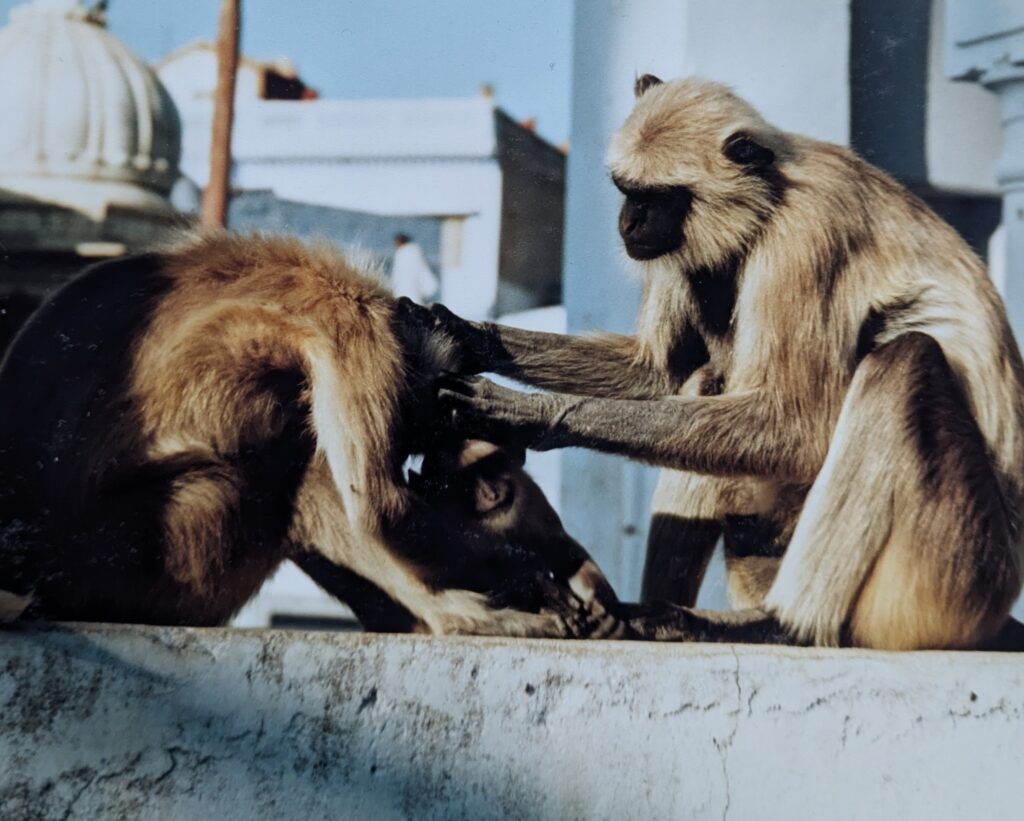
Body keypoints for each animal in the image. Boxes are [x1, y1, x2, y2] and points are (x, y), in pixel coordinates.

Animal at [0, 232, 623, 637]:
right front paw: (534, 582)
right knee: (284, 471)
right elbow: (382, 509)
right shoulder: (358, 339)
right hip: (128, 557)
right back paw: (462, 618)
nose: (419, 450)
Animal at [411, 74, 1024, 650]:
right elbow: (655, 370)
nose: (628, 224)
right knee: (708, 379)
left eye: (655, 198)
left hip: (952, 571)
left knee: (904, 359)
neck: (770, 197)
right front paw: (463, 336)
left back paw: (781, 627)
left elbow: (798, 427)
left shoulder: (807, 234)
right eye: (624, 191)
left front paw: (523, 414)